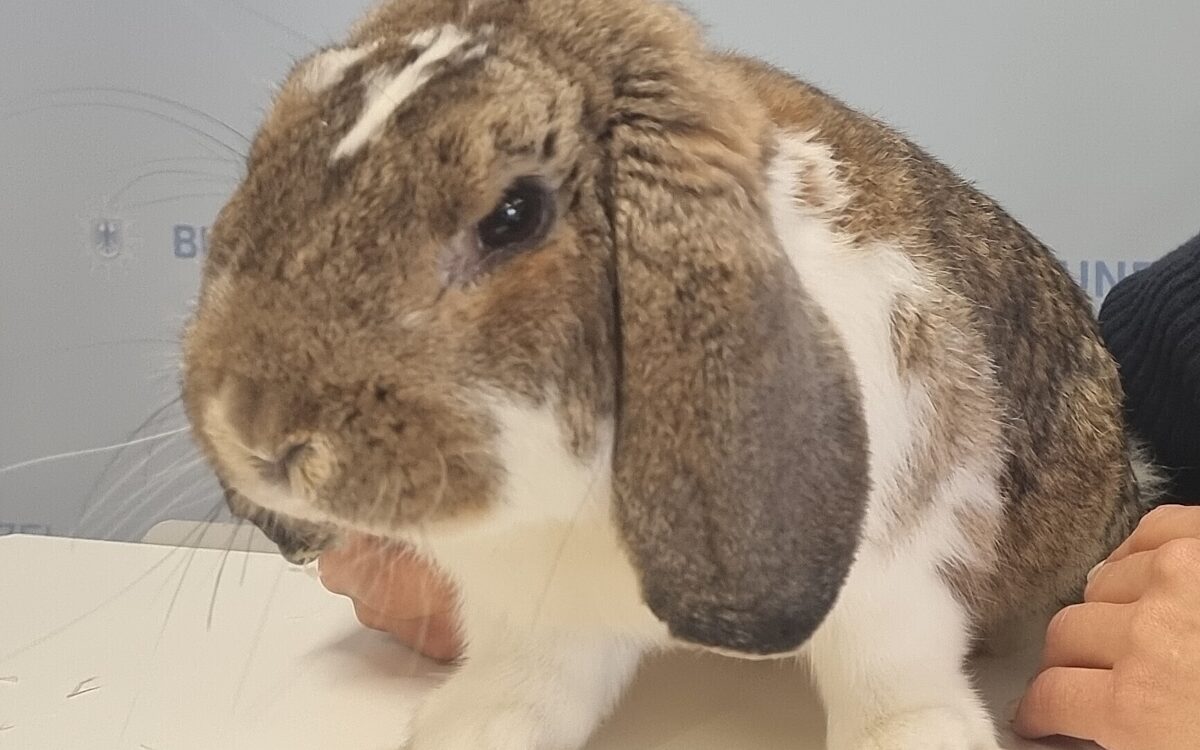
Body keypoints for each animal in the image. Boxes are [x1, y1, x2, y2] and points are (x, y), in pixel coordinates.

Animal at [180, 0, 1152, 748]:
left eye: (513, 215)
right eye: (265, 167)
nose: (256, 431)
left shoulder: (898, 575)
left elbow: (893, 675)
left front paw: (921, 739)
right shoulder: (536, 614)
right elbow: (528, 690)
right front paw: (462, 731)